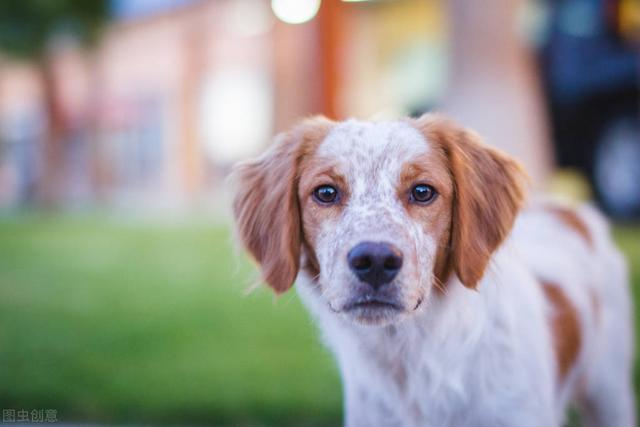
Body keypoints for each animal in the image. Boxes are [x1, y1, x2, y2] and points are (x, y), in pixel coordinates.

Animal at [231, 114, 636, 427]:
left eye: (423, 191)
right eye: (326, 192)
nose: (375, 260)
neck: (414, 360)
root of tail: (567, 208)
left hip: (609, 391)